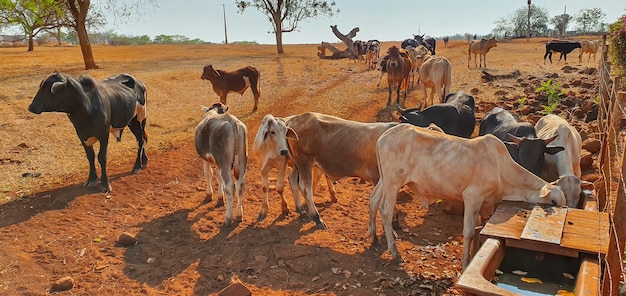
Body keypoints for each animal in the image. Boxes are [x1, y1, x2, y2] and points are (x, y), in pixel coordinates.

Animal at [366, 123, 564, 270]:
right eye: (553, 202)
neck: (501, 168)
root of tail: (384, 137)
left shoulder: (486, 205)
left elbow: (479, 230)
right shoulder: (472, 197)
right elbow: (468, 232)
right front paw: (466, 263)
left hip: (385, 180)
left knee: (374, 200)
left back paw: (373, 235)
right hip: (393, 182)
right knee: (386, 211)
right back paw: (394, 252)